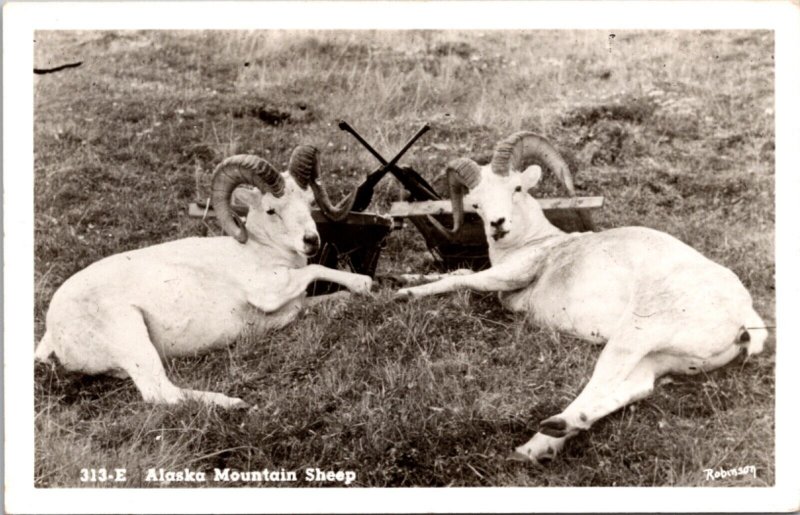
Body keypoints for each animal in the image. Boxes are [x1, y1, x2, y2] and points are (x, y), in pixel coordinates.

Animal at [36, 147, 374, 410]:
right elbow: (316, 270)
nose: (311, 241)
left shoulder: (297, 303)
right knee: (161, 393)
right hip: (131, 335)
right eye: (271, 210)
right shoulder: (269, 290)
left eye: (309, 203)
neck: (259, 250)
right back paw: (234, 403)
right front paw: (365, 283)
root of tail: (54, 329)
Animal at [396, 132, 764, 464]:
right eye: (476, 204)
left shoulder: (509, 275)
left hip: (633, 337)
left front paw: (403, 294)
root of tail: (745, 317)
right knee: (638, 386)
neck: (539, 242)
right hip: (659, 358)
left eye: (516, 189)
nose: (498, 225)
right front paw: (402, 278)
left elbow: (463, 280)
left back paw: (539, 440)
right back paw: (547, 441)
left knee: (602, 384)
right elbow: (455, 274)